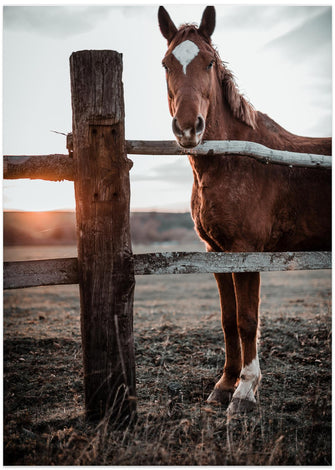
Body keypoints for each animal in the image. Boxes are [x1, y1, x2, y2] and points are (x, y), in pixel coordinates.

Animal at [159, 4, 332, 414]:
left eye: (208, 62)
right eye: (166, 64)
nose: (188, 128)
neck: (233, 158)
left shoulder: (246, 252)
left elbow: (247, 318)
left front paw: (245, 392)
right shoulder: (216, 252)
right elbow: (227, 320)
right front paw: (224, 384)